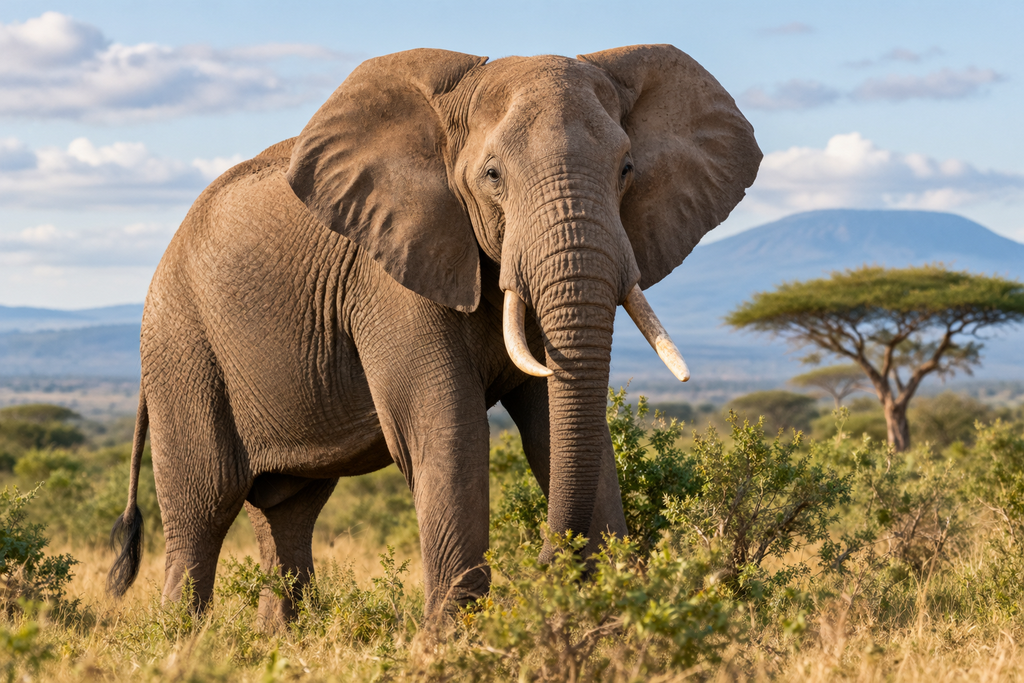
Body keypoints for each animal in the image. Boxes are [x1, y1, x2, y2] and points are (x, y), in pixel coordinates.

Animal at [107, 44, 761, 626]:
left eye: (627, 170)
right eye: (493, 176)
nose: (548, 566)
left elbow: (561, 422)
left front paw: (607, 624)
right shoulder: (387, 273)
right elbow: (448, 427)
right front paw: (450, 641)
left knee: (288, 508)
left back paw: (275, 641)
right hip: (181, 346)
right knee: (203, 508)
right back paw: (180, 643)